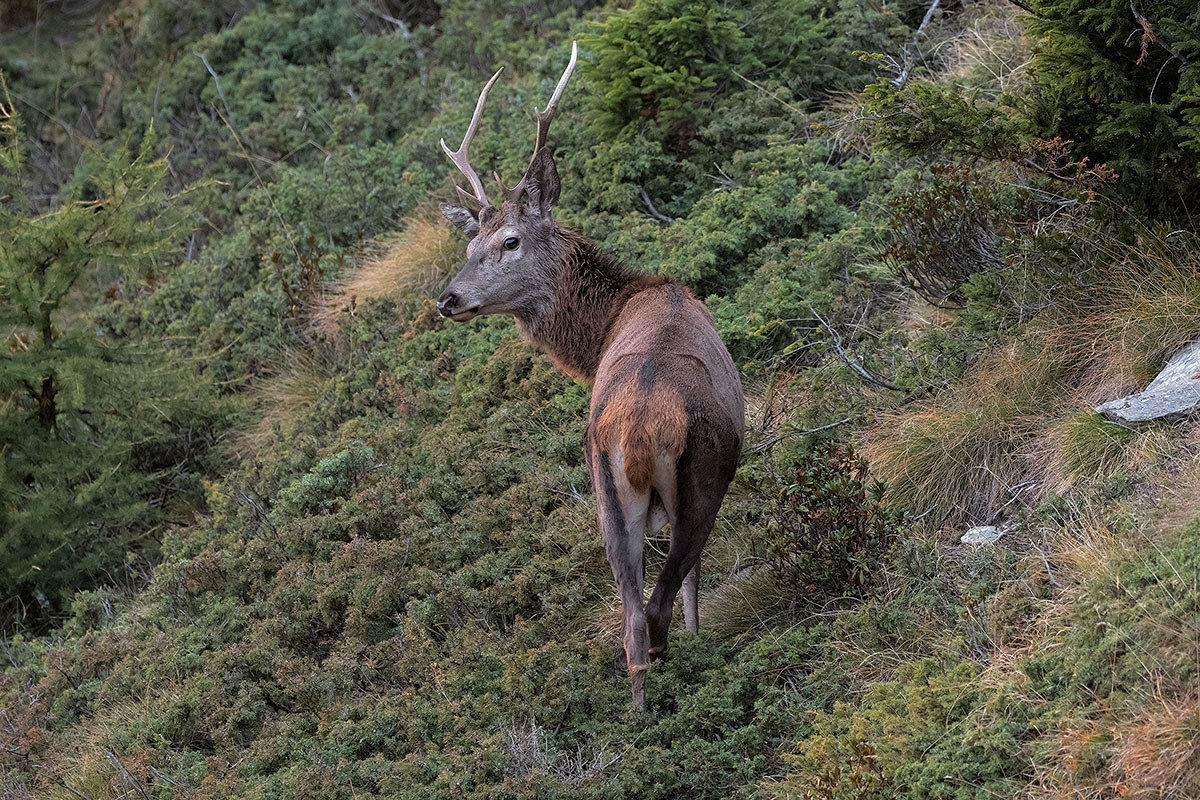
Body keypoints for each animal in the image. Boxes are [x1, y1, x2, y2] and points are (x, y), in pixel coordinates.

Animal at [435, 43, 745, 709]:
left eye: (508, 240)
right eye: (471, 243)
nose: (447, 298)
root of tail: (641, 432)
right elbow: (692, 587)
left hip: (604, 491)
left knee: (630, 620)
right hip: (702, 479)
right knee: (659, 602)